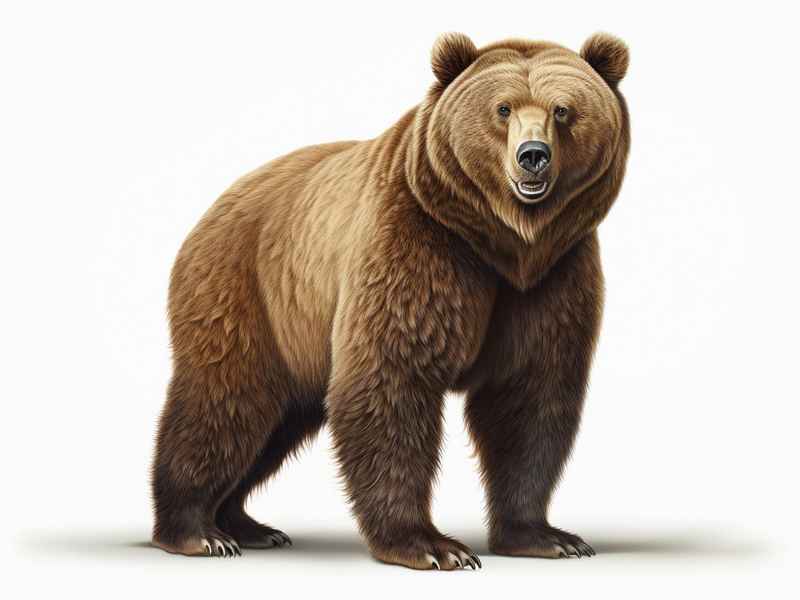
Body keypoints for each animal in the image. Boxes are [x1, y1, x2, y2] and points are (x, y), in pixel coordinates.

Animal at [151, 32, 630, 570]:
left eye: (563, 110)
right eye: (502, 108)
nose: (533, 155)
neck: (504, 244)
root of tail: (215, 206)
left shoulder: (551, 277)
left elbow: (527, 396)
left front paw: (546, 536)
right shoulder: (416, 241)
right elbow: (392, 379)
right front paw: (432, 545)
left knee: (276, 423)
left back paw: (246, 524)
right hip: (246, 291)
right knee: (227, 400)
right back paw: (196, 531)